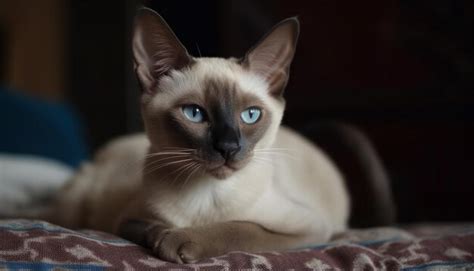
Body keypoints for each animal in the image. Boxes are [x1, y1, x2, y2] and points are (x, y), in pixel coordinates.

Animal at [44, 7, 394, 264]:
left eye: (250, 115)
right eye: (194, 113)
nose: (228, 147)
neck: (208, 195)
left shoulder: (309, 229)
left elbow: (242, 229)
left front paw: (178, 240)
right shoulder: (126, 220)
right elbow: (151, 226)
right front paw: (165, 237)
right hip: (74, 205)